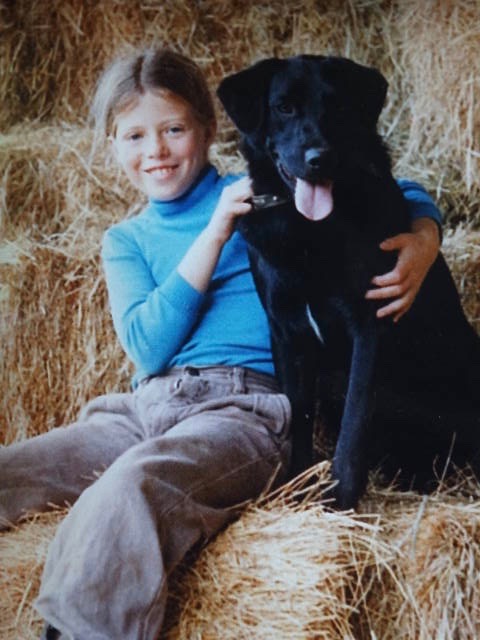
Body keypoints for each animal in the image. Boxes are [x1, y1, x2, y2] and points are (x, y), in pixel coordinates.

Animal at [217, 55, 480, 509]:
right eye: (284, 107)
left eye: (338, 106)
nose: (319, 158)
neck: (310, 229)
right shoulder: (285, 330)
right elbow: (296, 412)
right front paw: (298, 485)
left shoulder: (370, 325)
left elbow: (354, 425)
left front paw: (341, 498)